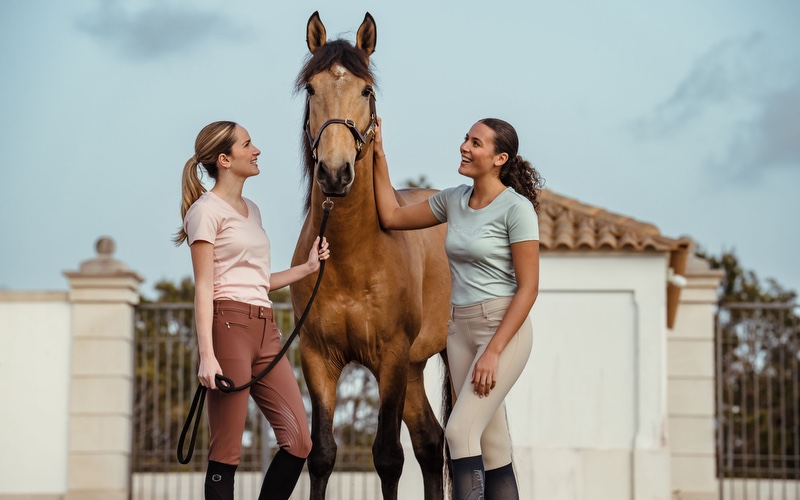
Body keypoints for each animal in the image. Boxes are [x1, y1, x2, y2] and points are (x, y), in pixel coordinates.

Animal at [290, 11, 454, 500]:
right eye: (311, 89)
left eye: (367, 90)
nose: (334, 172)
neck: (351, 260)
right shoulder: (317, 358)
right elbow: (322, 454)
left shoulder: (391, 357)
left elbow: (387, 457)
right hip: (417, 367)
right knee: (430, 441)